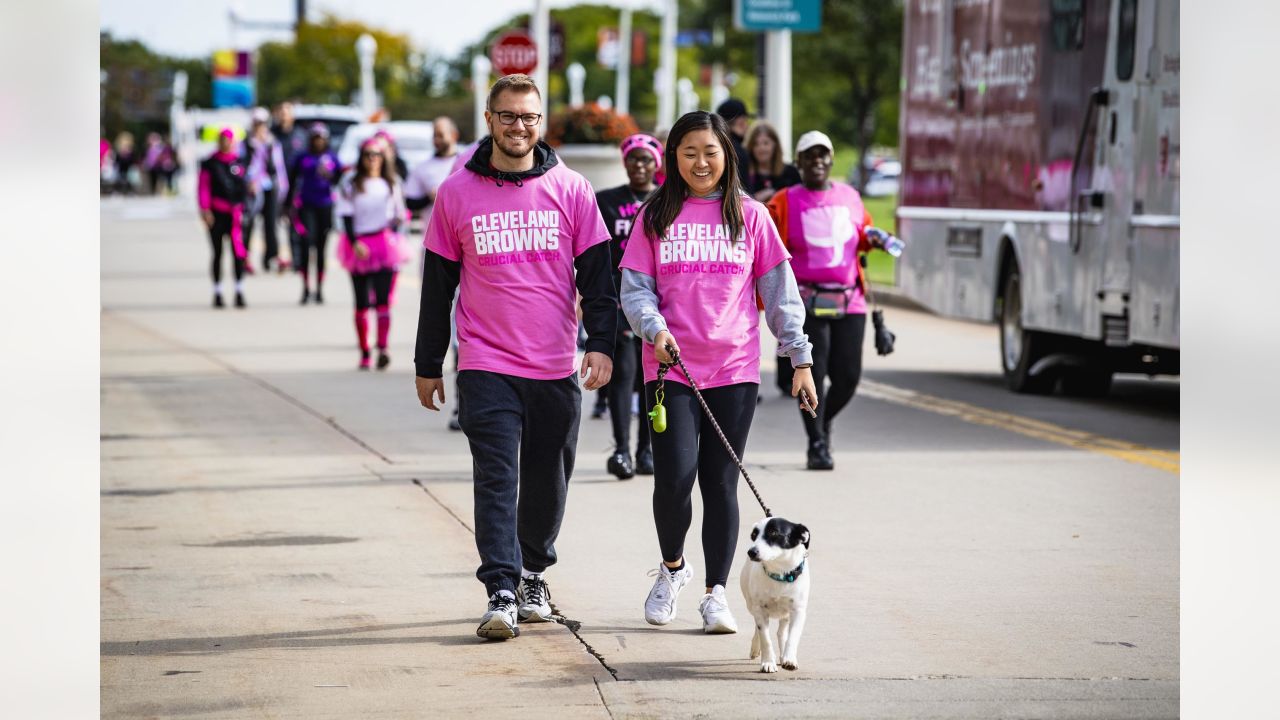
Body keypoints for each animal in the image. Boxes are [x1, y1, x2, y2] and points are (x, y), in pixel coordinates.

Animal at [742, 512, 808, 671]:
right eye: (754, 535)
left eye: (773, 533)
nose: (751, 552)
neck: (780, 574)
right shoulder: (759, 609)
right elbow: (765, 638)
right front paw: (768, 662)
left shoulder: (798, 611)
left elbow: (792, 637)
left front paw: (789, 659)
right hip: (751, 605)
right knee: (757, 628)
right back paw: (755, 648)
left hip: (786, 613)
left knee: (781, 631)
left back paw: (783, 654)